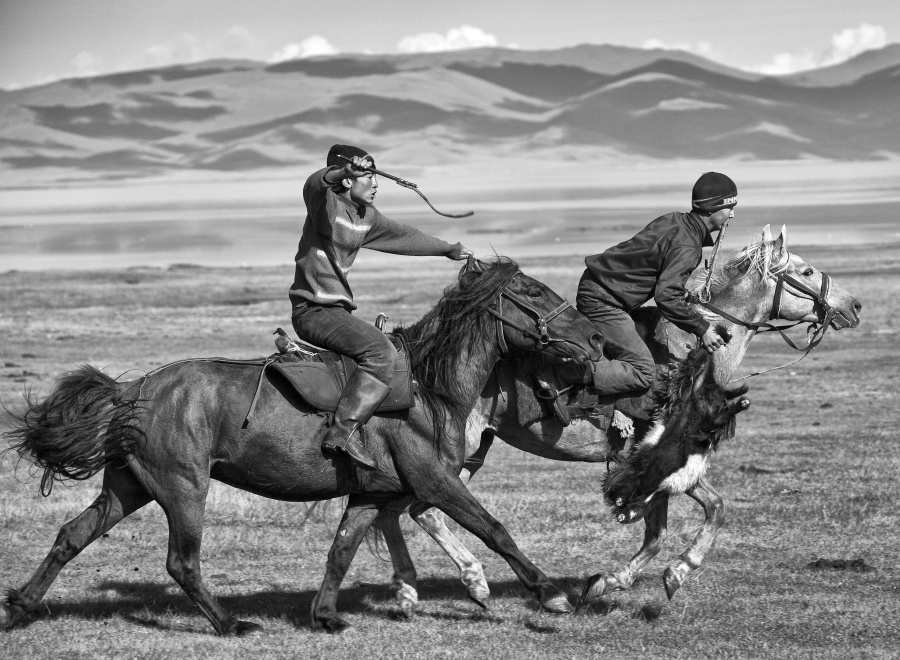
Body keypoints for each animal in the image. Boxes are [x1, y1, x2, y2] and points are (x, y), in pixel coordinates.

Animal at [3, 256, 604, 636]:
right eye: (533, 293)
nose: (596, 338)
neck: (429, 389)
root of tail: (132, 391)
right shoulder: (436, 483)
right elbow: (494, 529)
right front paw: (552, 594)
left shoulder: (371, 494)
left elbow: (341, 550)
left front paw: (326, 615)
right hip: (182, 487)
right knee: (182, 561)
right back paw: (230, 624)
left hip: (130, 486)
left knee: (72, 534)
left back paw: (20, 606)